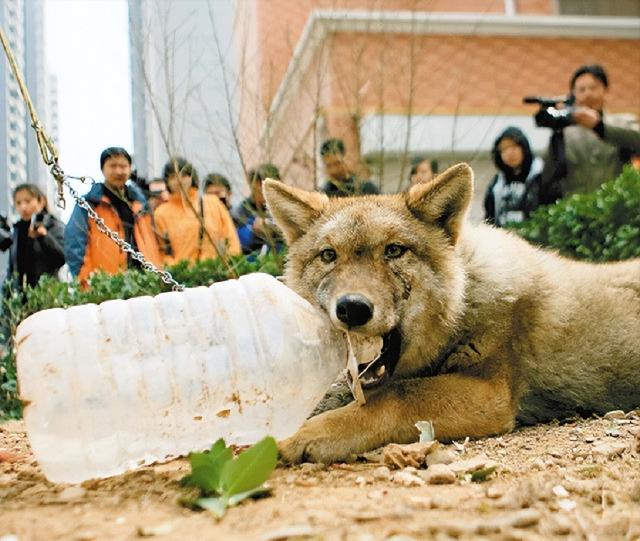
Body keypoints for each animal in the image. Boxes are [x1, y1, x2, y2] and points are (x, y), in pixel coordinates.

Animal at [264, 162, 640, 462]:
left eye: (394, 251)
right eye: (328, 255)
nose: (352, 308)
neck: (464, 303)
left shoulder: (490, 394)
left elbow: (396, 394)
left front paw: (305, 433)